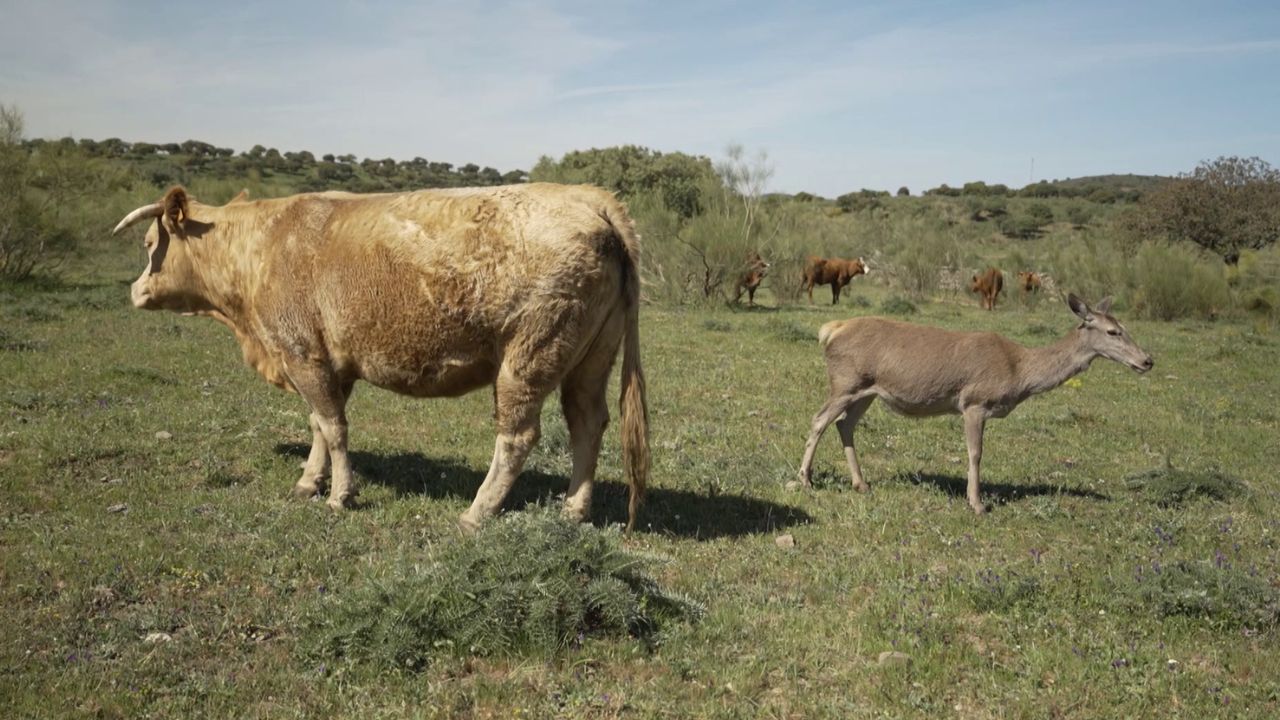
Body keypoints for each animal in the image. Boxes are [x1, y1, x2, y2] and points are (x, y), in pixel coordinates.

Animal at [111, 184, 650, 532]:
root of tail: (591, 199)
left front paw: (339, 495)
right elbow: (318, 425)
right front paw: (309, 481)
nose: (135, 290)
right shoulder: (329, 363)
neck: (262, 246)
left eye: (149, 243)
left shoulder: (302, 353)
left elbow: (333, 427)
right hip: (590, 359)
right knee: (586, 423)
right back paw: (573, 510)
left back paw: (477, 512)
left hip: (527, 359)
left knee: (518, 437)